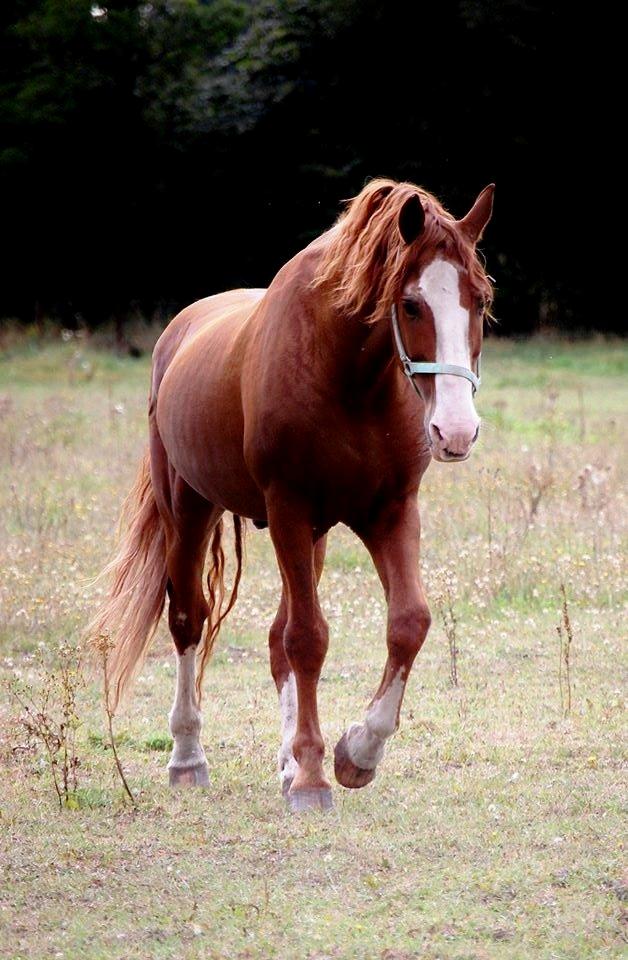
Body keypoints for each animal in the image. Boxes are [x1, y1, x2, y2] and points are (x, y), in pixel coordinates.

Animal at [91, 178, 496, 808]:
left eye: (479, 300)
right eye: (411, 304)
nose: (455, 430)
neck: (350, 379)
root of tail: (177, 336)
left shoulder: (390, 512)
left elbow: (407, 622)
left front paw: (355, 753)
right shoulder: (288, 508)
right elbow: (307, 638)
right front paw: (311, 776)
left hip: (313, 535)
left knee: (275, 636)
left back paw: (285, 759)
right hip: (189, 509)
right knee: (188, 619)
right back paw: (189, 756)